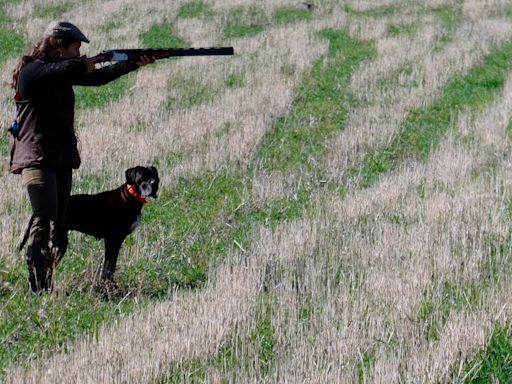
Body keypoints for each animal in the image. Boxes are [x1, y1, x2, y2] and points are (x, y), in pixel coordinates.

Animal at [21, 166, 159, 288]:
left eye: (155, 176)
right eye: (143, 176)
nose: (155, 183)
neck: (131, 196)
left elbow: (110, 265)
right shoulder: (113, 239)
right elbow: (109, 266)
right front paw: (107, 287)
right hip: (58, 243)